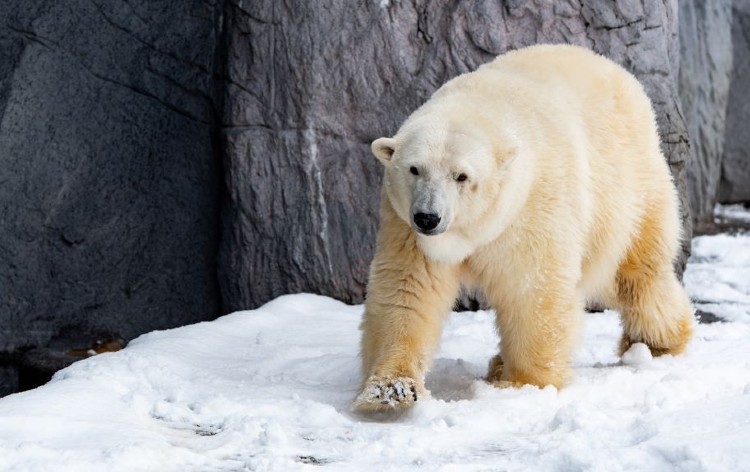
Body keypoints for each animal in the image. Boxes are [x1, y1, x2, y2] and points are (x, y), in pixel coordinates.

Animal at [356, 45, 696, 412]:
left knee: (636, 273)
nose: (428, 217)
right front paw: (390, 390)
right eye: (414, 169)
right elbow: (407, 290)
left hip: (627, 188)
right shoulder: (404, 225)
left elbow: (533, 290)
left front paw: (523, 384)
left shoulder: (532, 206)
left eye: (462, 176)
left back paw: (655, 341)